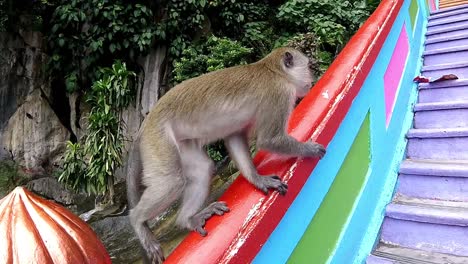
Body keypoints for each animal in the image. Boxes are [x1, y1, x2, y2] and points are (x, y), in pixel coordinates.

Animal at [126, 46, 328, 262]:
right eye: (308, 66)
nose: (312, 77)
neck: (276, 71)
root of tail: (145, 124)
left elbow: (235, 138)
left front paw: (257, 179)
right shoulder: (279, 95)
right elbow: (270, 139)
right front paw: (310, 149)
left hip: (180, 142)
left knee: (202, 170)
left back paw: (187, 220)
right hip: (158, 139)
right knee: (172, 181)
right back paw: (137, 220)